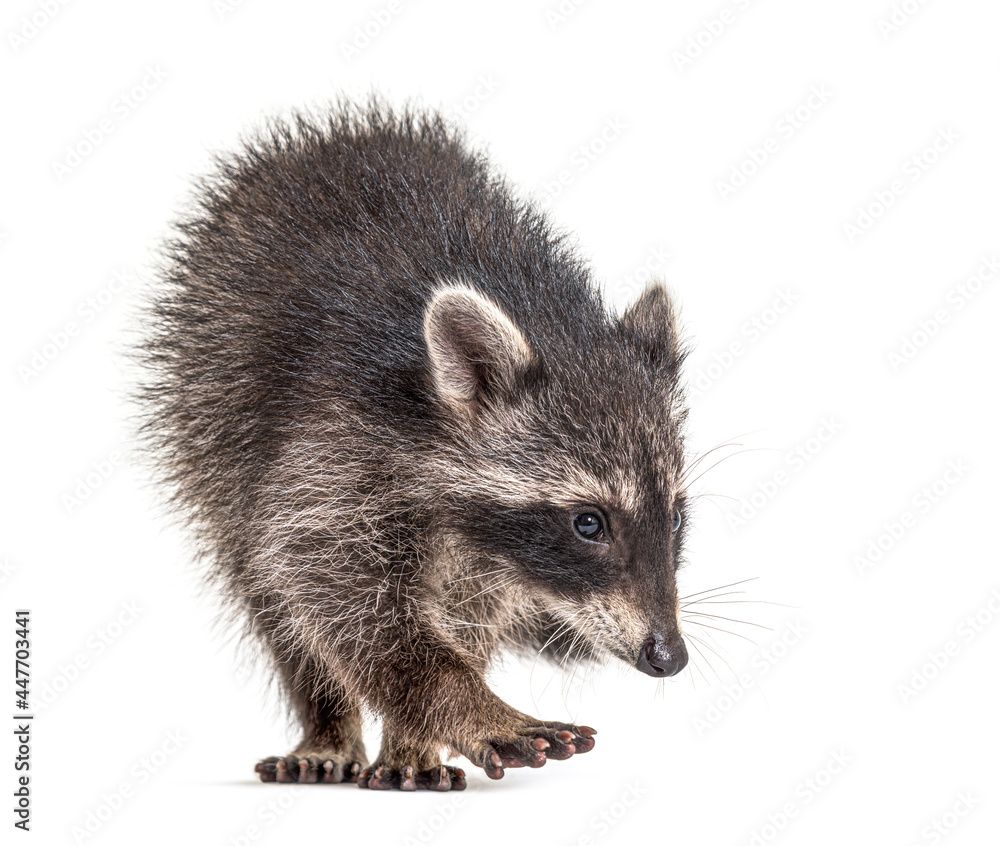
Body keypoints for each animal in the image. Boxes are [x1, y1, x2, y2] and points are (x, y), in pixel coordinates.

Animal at [137, 100, 690, 791]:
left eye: (677, 517)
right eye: (589, 522)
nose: (669, 655)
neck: (550, 321)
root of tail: (340, 132)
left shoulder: (493, 552)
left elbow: (463, 609)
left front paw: (424, 726)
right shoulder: (331, 437)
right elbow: (322, 577)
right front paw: (457, 697)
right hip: (209, 421)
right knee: (267, 584)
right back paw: (327, 718)